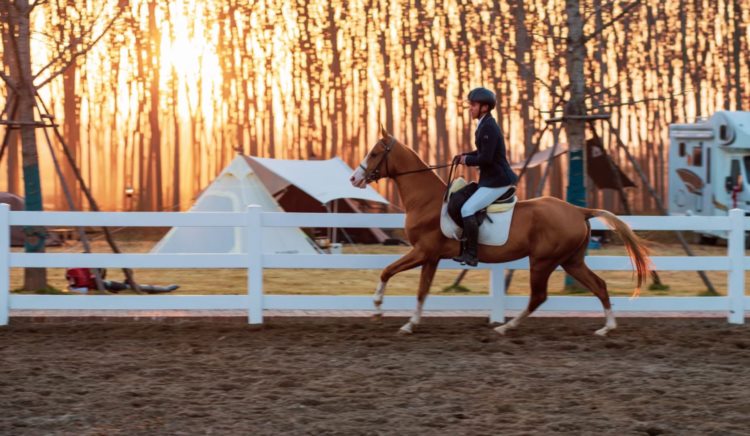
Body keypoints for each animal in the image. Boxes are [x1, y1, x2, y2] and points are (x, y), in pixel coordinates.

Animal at [352, 126, 652, 338]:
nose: (354, 178)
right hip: (571, 261)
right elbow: (419, 289)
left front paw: (380, 309)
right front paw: (407, 322)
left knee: (538, 297)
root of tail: (578, 211)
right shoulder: (431, 257)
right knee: (599, 286)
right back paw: (606, 328)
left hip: (542, 262)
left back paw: (505, 327)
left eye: (375, 153)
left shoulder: (424, 251)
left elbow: (391, 273)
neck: (427, 201)